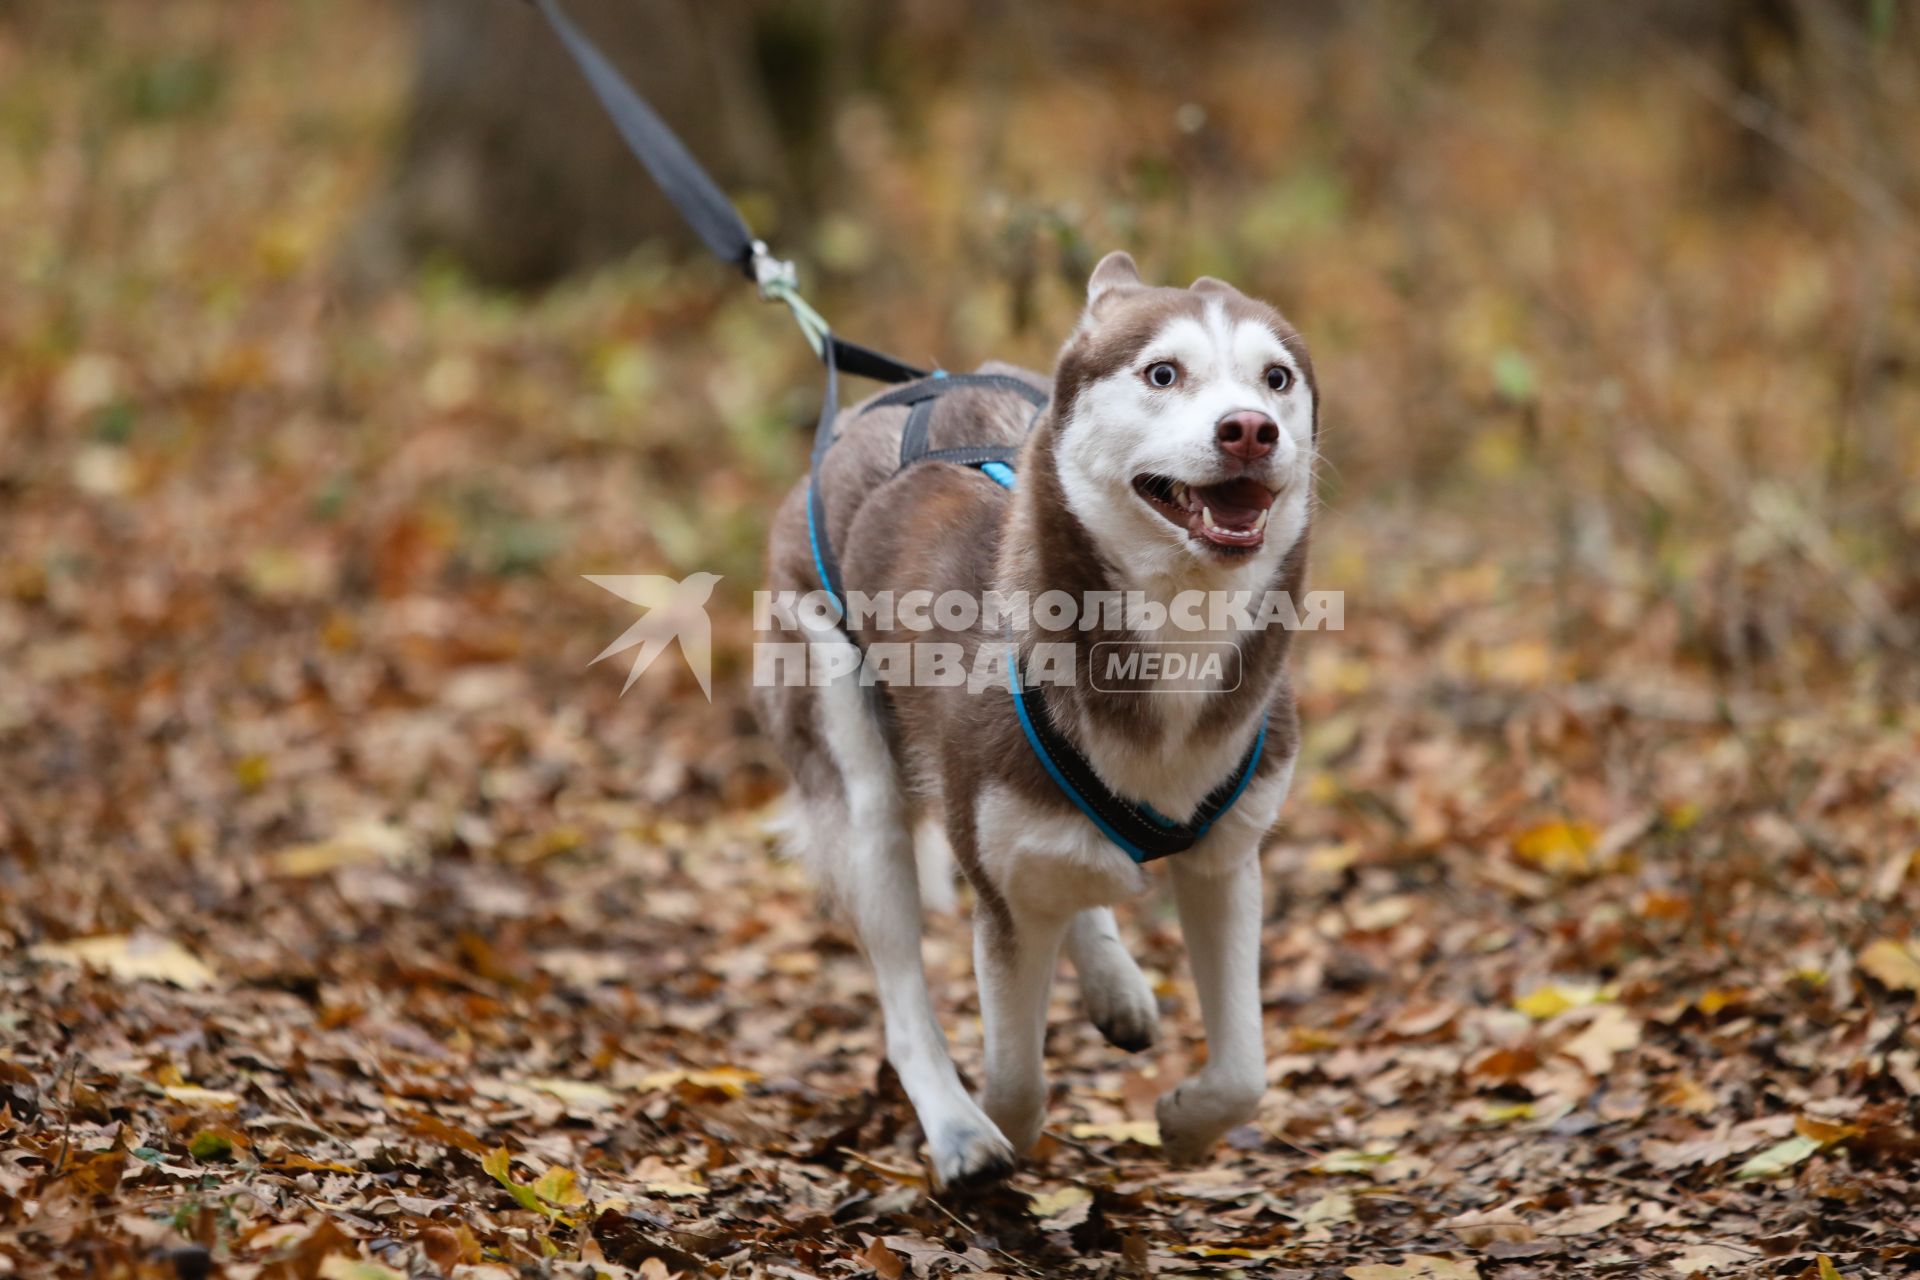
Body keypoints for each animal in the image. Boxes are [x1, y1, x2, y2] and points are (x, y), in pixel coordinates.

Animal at [756, 253, 1313, 1189]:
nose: (1250, 430)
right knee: (904, 990)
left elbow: (1245, 1071)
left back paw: (1114, 983)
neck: (1173, 637)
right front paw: (1000, 1132)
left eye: (1276, 379)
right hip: (859, 782)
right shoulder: (999, 887)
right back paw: (955, 1127)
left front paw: (1187, 1123)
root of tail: (878, 404)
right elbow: (1015, 1077)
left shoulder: (1227, 859)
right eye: (1163, 373)